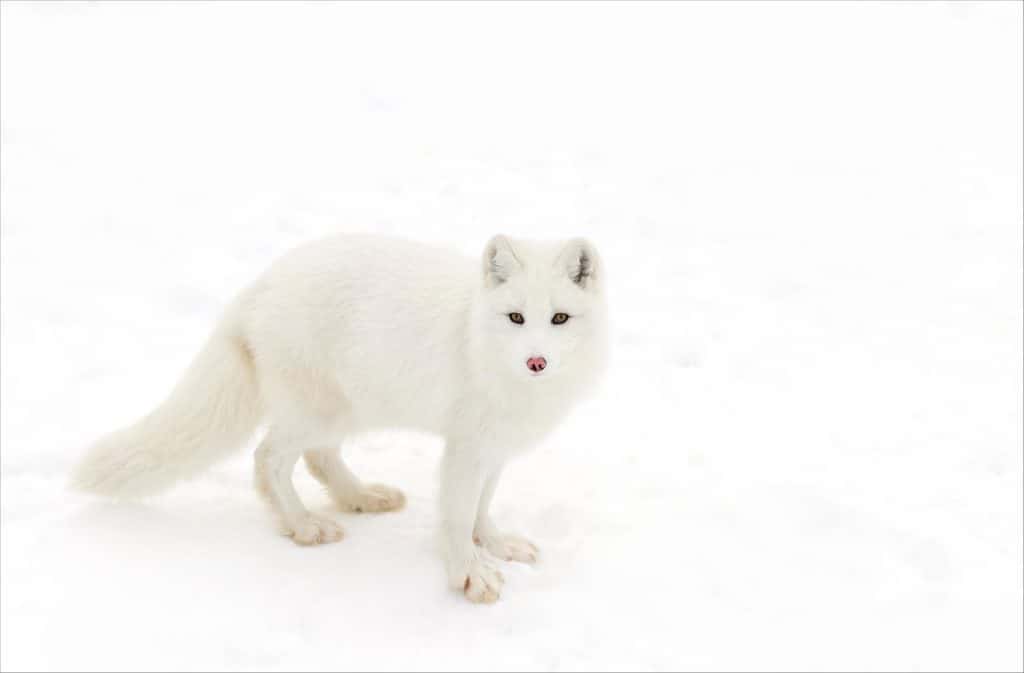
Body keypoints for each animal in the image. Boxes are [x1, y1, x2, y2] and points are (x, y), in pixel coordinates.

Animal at [71, 233, 608, 603]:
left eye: (559, 318)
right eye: (516, 318)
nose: (536, 361)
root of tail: (259, 285)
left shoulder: (493, 449)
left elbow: (481, 509)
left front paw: (495, 545)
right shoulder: (465, 448)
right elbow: (457, 517)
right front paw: (468, 573)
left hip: (348, 409)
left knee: (318, 458)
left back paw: (362, 497)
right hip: (320, 411)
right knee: (269, 457)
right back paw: (303, 525)